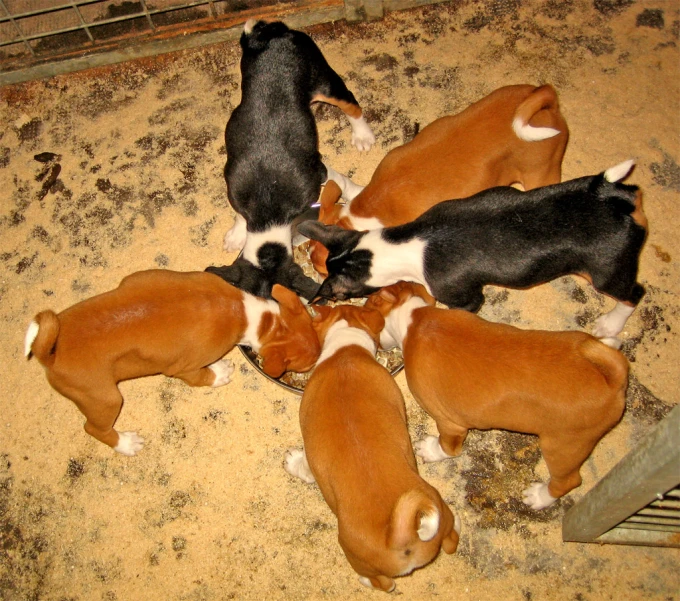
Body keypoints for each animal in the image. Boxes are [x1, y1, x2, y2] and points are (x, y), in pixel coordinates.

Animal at [25, 268, 320, 454]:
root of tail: (50, 354)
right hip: (106, 400)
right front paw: (220, 372)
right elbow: (204, 376)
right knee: (93, 429)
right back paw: (126, 444)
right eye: (308, 365)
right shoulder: (183, 369)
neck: (252, 316)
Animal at [284, 304, 460, 592]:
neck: (345, 351)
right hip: (442, 515)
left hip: (355, 555)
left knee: (384, 584)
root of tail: (400, 540)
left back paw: (365, 581)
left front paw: (293, 462)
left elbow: (305, 467)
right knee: (452, 541)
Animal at [298, 159, 648, 344]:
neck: (409, 242)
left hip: (606, 272)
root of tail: (613, 198)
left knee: (635, 294)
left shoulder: (465, 297)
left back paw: (610, 325)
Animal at [364, 284, 628, 508]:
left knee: (568, 482)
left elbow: (447, 447)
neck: (414, 320)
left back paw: (540, 497)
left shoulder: (450, 423)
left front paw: (431, 450)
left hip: (563, 447)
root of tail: (613, 382)